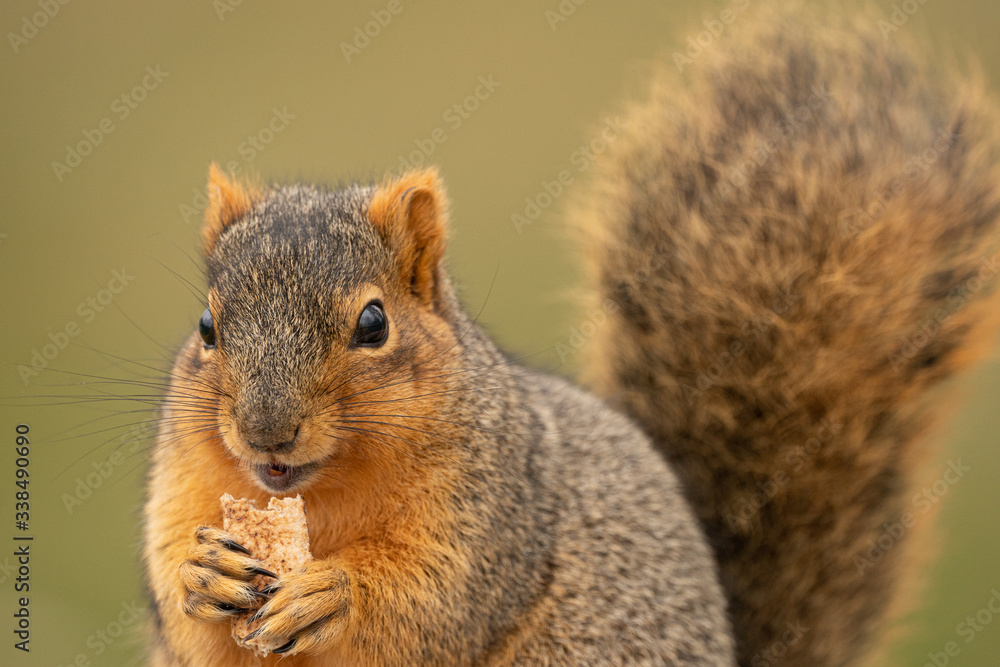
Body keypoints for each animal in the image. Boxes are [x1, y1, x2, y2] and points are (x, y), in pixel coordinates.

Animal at [142, 4, 1000, 666]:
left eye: (374, 323)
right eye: (208, 325)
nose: (266, 431)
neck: (316, 495)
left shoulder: (496, 515)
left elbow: (431, 601)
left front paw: (334, 589)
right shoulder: (184, 478)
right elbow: (185, 610)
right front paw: (200, 572)